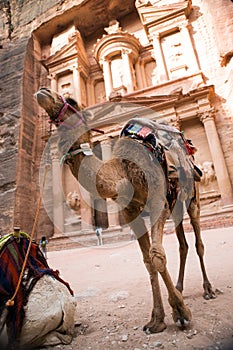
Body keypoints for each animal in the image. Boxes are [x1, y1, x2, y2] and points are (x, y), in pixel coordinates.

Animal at [34, 87, 215, 334]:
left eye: (71, 100)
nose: (43, 91)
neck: (124, 171)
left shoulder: (158, 202)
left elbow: (157, 256)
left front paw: (181, 314)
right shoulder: (131, 212)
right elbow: (148, 262)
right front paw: (157, 319)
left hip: (192, 199)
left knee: (198, 243)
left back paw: (208, 289)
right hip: (176, 206)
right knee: (183, 245)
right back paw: (179, 287)